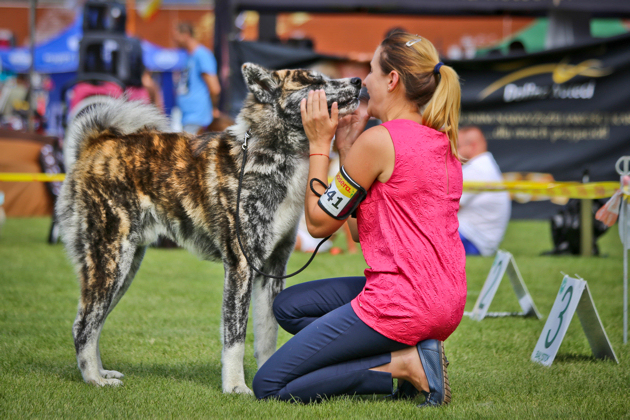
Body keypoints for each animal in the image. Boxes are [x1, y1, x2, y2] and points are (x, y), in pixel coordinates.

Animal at [58, 62, 366, 394]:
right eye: (313, 81)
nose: (358, 80)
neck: (274, 151)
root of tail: (98, 142)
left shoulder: (273, 269)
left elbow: (267, 336)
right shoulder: (241, 266)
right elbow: (235, 338)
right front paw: (235, 387)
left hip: (126, 267)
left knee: (94, 321)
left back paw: (101, 371)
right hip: (110, 260)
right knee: (83, 324)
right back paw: (94, 379)